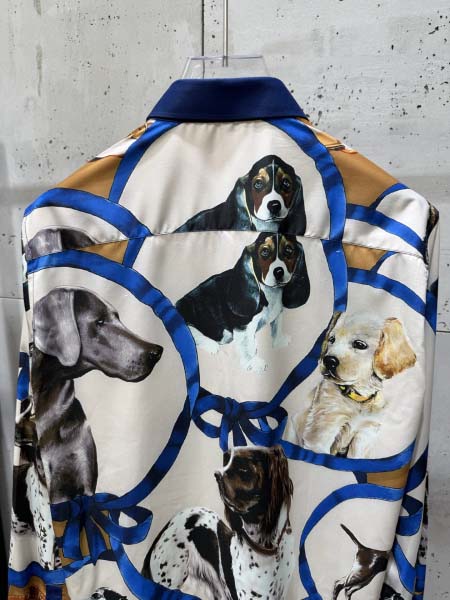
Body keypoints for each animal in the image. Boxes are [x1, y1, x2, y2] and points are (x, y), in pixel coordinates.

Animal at [176, 233, 310, 372]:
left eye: (289, 250)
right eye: (265, 252)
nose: (279, 272)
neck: (269, 291)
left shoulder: (278, 314)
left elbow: (277, 327)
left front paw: (279, 342)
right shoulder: (243, 327)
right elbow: (249, 346)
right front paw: (254, 363)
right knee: (189, 332)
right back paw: (210, 344)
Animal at [286, 311, 416, 457]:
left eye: (359, 344)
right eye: (332, 339)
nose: (328, 361)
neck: (358, 398)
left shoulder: (364, 434)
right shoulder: (322, 430)